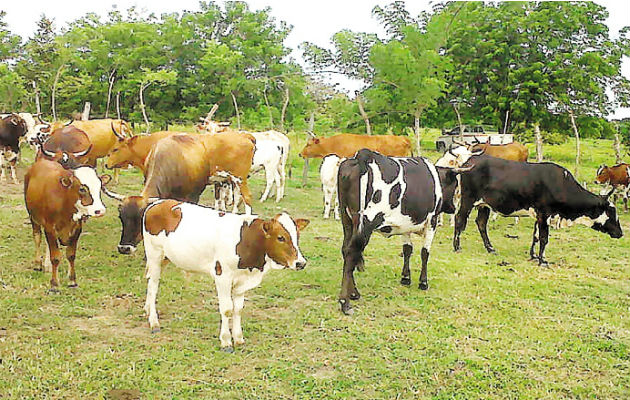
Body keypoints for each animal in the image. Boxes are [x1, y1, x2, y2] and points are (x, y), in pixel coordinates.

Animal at [24, 155, 108, 290]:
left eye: (100, 187)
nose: (100, 210)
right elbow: (55, 257)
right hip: (33, 217)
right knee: (37, 237)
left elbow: (71, 255)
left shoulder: (77, 228)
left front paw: (72, 281)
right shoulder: (50, 227)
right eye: (82, 188)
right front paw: (54, 284)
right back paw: (38, 263)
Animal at [143, 199, 312, 350]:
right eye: (280, 237)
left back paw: (147, 309)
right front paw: (226, 341)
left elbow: (238, 309)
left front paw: (238, 338)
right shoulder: (222, 276)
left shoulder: (242, 280)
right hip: (154, 255)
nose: (301, 263)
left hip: (164, 258)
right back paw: (154, 322)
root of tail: (156, 203)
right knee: (153, 286)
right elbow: (227, 309)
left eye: (297, 236)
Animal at [338, 148, 466, 314]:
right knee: (352, 253)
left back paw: (354, 293)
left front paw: (405, 278)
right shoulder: (431, 222)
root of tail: (361, 158)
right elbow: (425, 253)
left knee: (346, 249)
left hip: (347, 220)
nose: (453, 208)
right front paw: (423, 282)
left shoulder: (405, 226)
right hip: (366, 223)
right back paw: (345, 302)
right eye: (456, 184)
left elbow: (407, 249)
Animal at [454, 155, 628, 264]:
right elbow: (544, 238)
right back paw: (457, 247)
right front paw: (542, 260)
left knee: (481, 223)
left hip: (484, 205)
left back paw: (490, 248)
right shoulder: (545, 214)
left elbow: (536, 236)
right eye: (612, 213)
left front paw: (533, 256)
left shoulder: (540, 216)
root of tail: (471, 160)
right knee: (460, 220)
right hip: (468, 201)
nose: (620, 233)